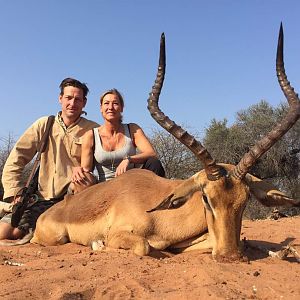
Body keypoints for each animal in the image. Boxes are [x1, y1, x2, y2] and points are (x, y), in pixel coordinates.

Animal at [31, 25, 300, 260]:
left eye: (245, 201)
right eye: (206, 198)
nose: (230, 256)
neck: (158, 214)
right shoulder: (122, 235)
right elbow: (143, 246)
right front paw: (99, 244)